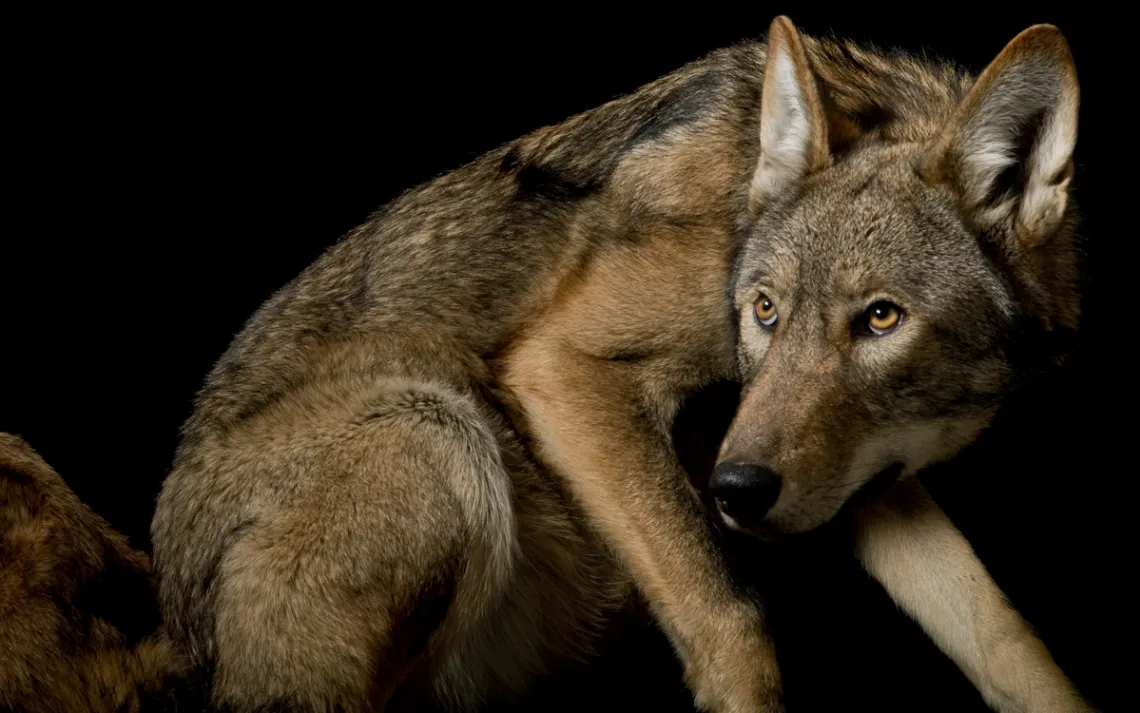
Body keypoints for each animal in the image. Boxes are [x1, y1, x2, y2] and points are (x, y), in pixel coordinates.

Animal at [149, 15, 1094, 713]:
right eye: (764, 311)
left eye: (881, 319)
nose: (734, 493)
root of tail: (173, 624)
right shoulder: (566, 367)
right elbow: (730, 623)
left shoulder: (862, 478)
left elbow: (1002, 636)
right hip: (440, 435)